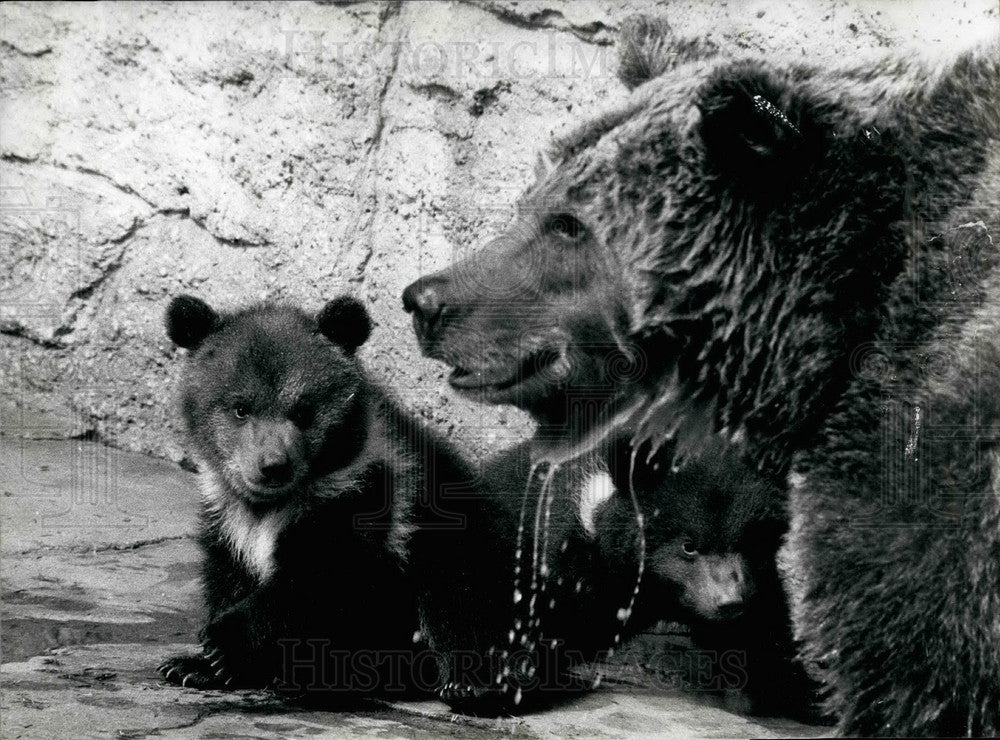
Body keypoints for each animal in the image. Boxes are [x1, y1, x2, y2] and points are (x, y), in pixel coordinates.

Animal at [157, 294, 474, 699]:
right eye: (241, 408)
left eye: (302, 410)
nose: (273, 465)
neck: (272, 503)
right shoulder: (227, 518)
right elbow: (226, 573)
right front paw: (193, 666)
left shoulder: (359, 499)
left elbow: (318, 578)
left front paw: (223, 645)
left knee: (455, 600)